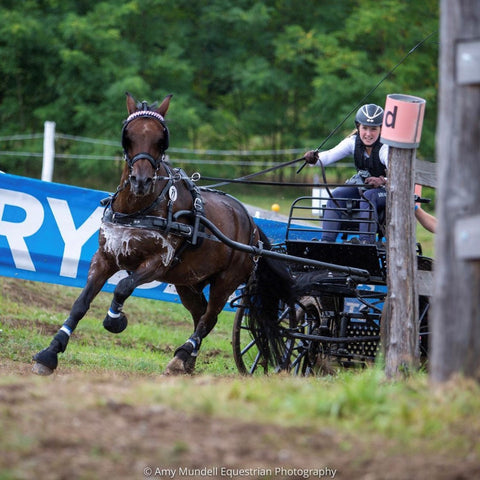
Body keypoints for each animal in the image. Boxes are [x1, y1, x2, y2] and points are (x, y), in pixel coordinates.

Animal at [31, 93, 294, 376]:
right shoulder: (105, 257)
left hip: (226, 280)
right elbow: (80, 303)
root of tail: (252, 226)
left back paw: (181, 356)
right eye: (128, 135)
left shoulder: (158, 263)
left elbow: (123, 287)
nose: (141, 181)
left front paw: (115, 320)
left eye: (161, 139)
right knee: (200, 314)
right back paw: (188, 361)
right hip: (187, 281)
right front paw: (50, 353)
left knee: (209, 318)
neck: (138, 209)